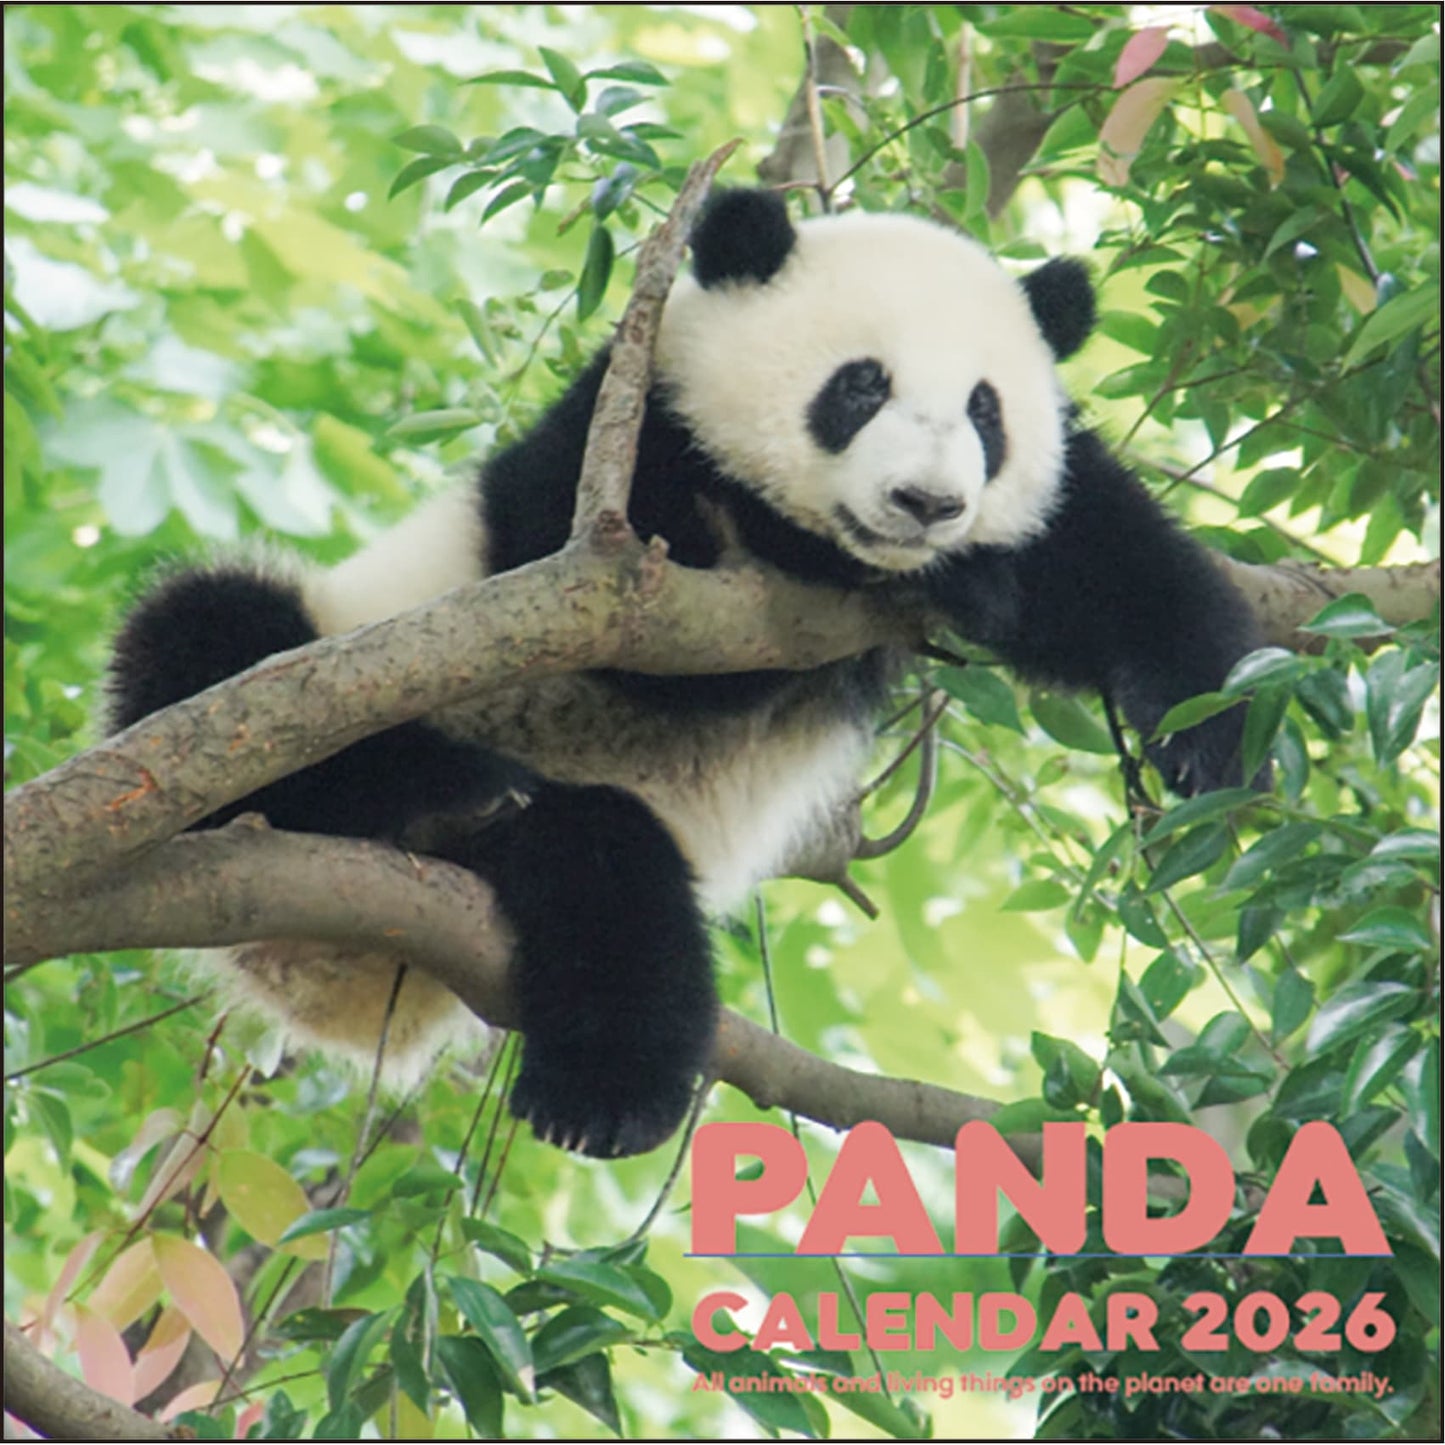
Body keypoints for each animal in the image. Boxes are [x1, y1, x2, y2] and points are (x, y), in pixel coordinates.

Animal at [107, 188, 1262, 1159]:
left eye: (985, 411)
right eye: (859, 386)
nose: (926, 505)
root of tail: (324, 973)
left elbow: (1121, 566)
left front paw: (1208, 742)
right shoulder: (610, 482)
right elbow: (656, 642)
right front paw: (941, 574)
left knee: (602, 897)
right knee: (208, 639)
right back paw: (457, 815)